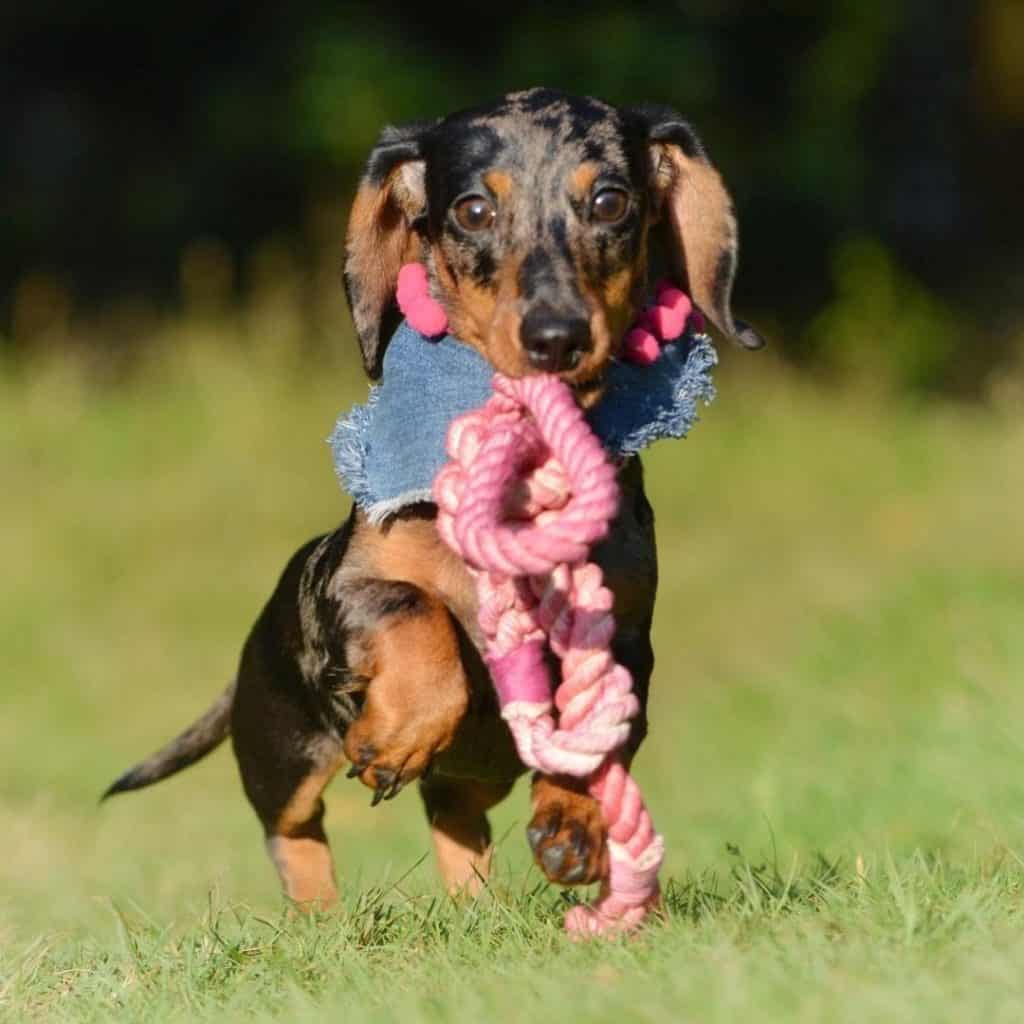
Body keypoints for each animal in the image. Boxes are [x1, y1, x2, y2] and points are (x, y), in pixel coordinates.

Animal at [103, 88, 761, 905]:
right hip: (284, 754)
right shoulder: (352, 584)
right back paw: (322, 913)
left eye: (610, 202)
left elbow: (593, 727)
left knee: (454, 819)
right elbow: (419, 612)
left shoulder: (623, 633)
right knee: (294, 831)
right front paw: (402, 732)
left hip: (466, 779)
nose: (557, 338)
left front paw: (573, 823)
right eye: (474, 211)